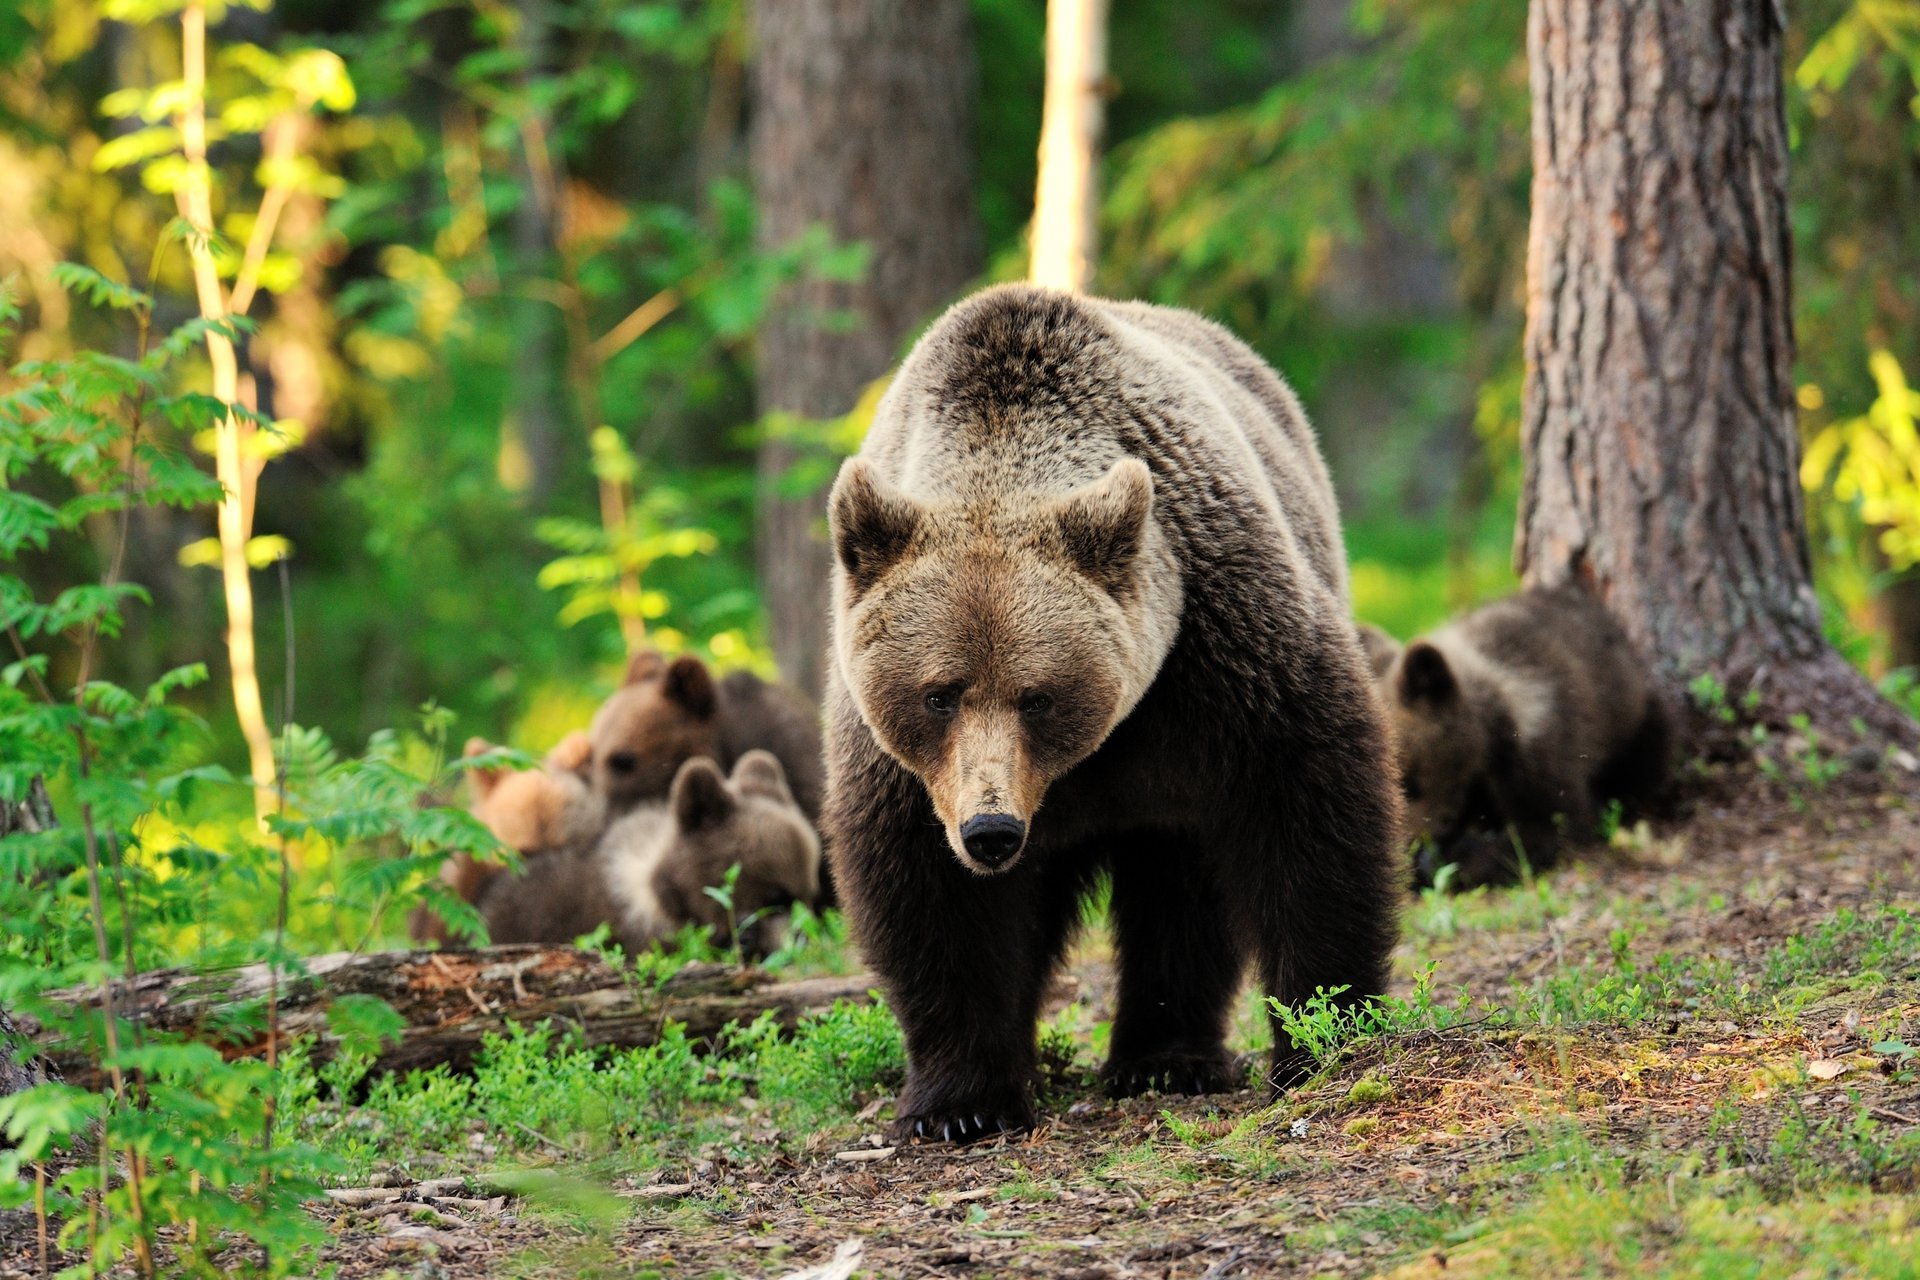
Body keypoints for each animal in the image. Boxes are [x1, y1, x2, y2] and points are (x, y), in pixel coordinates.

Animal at [822, 284, 1402, 1144]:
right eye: (939, 692)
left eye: (1037, 695)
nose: (991, 831)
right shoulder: (902, 763)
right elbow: (932, 897)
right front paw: (960, 1102)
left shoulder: (1222, 655)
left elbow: (1308, 814)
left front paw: (1321, 1036)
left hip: (1181, 778)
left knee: (1179, 887)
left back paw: (1164, 1058)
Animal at [1374, 584, 1671, 890]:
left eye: (1409, 783)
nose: (1408, 847)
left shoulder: (1540, 749)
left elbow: (1550, 823)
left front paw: (1459, 863)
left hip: (1635, 721)